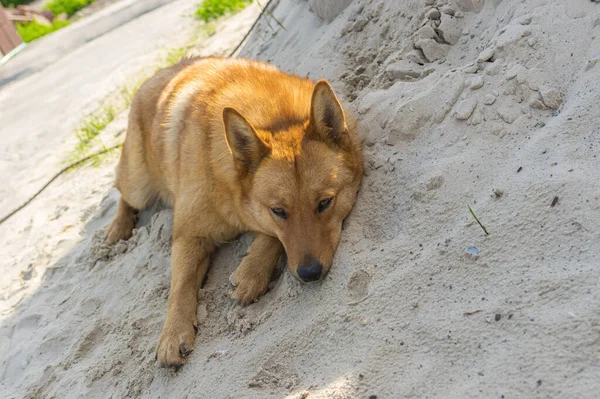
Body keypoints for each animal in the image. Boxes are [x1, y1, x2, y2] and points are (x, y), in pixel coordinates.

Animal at [103, 56, 364, 368]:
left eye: (324, 203)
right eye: (279, 210)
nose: (310, 273)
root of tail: (160, 73)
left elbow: (271, 238)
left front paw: (252, 272)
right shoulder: (189, 235)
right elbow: (181, 286)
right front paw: (173, 333)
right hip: (139, 185)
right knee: (123, 192)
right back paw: (117, 227)